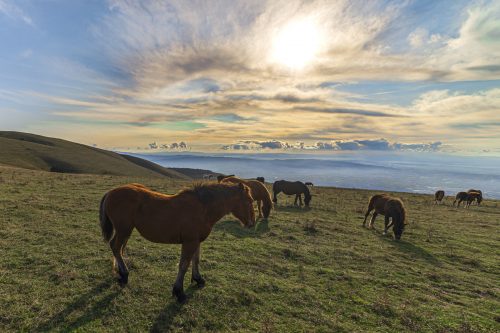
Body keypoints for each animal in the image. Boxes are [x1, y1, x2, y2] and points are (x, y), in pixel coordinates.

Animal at [98, 180, 256, 302]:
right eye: (249, 200)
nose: (252, 223)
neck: (203, 209)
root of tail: (111, 192)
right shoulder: (189, 242)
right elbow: (184, 265)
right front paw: (179, 292)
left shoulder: (196, 241)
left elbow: (195, 260)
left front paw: (198, 279)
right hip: (124, 230)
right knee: (116, 248)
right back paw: (125, 275)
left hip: (125, 231)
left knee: (118, 248)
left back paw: (120, 272)